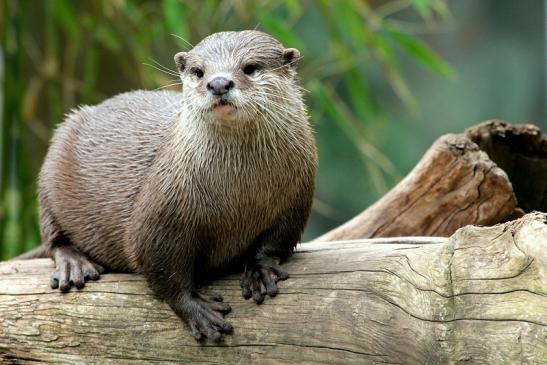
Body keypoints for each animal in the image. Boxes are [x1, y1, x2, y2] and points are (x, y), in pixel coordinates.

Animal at [33, 31, 316, 342]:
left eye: (250, 68)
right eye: (199, 71)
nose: (218, 83)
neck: (240, 195)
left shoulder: (297, 197)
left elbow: (277, 241)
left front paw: (260, 270)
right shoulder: (161, 214)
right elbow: (162, 268)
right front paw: (198, 312)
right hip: (52, 162)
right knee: (53, 237)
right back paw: (74, 264)